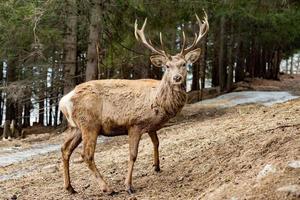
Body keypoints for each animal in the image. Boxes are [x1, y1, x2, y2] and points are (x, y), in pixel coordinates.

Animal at [58, 10, 209, 195]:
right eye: (167, 66)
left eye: (184, 64)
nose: (177, 78)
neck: (158, 101)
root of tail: (64, 100)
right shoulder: (135, 124)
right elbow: (133, 155)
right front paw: (129, 186)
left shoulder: (151, 126)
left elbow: (156, 142)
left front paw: (156, 166)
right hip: (89, 124)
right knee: (86, 155)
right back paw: (107, 188)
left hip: (75, 127)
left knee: (65, 149)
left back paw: (70, 187)